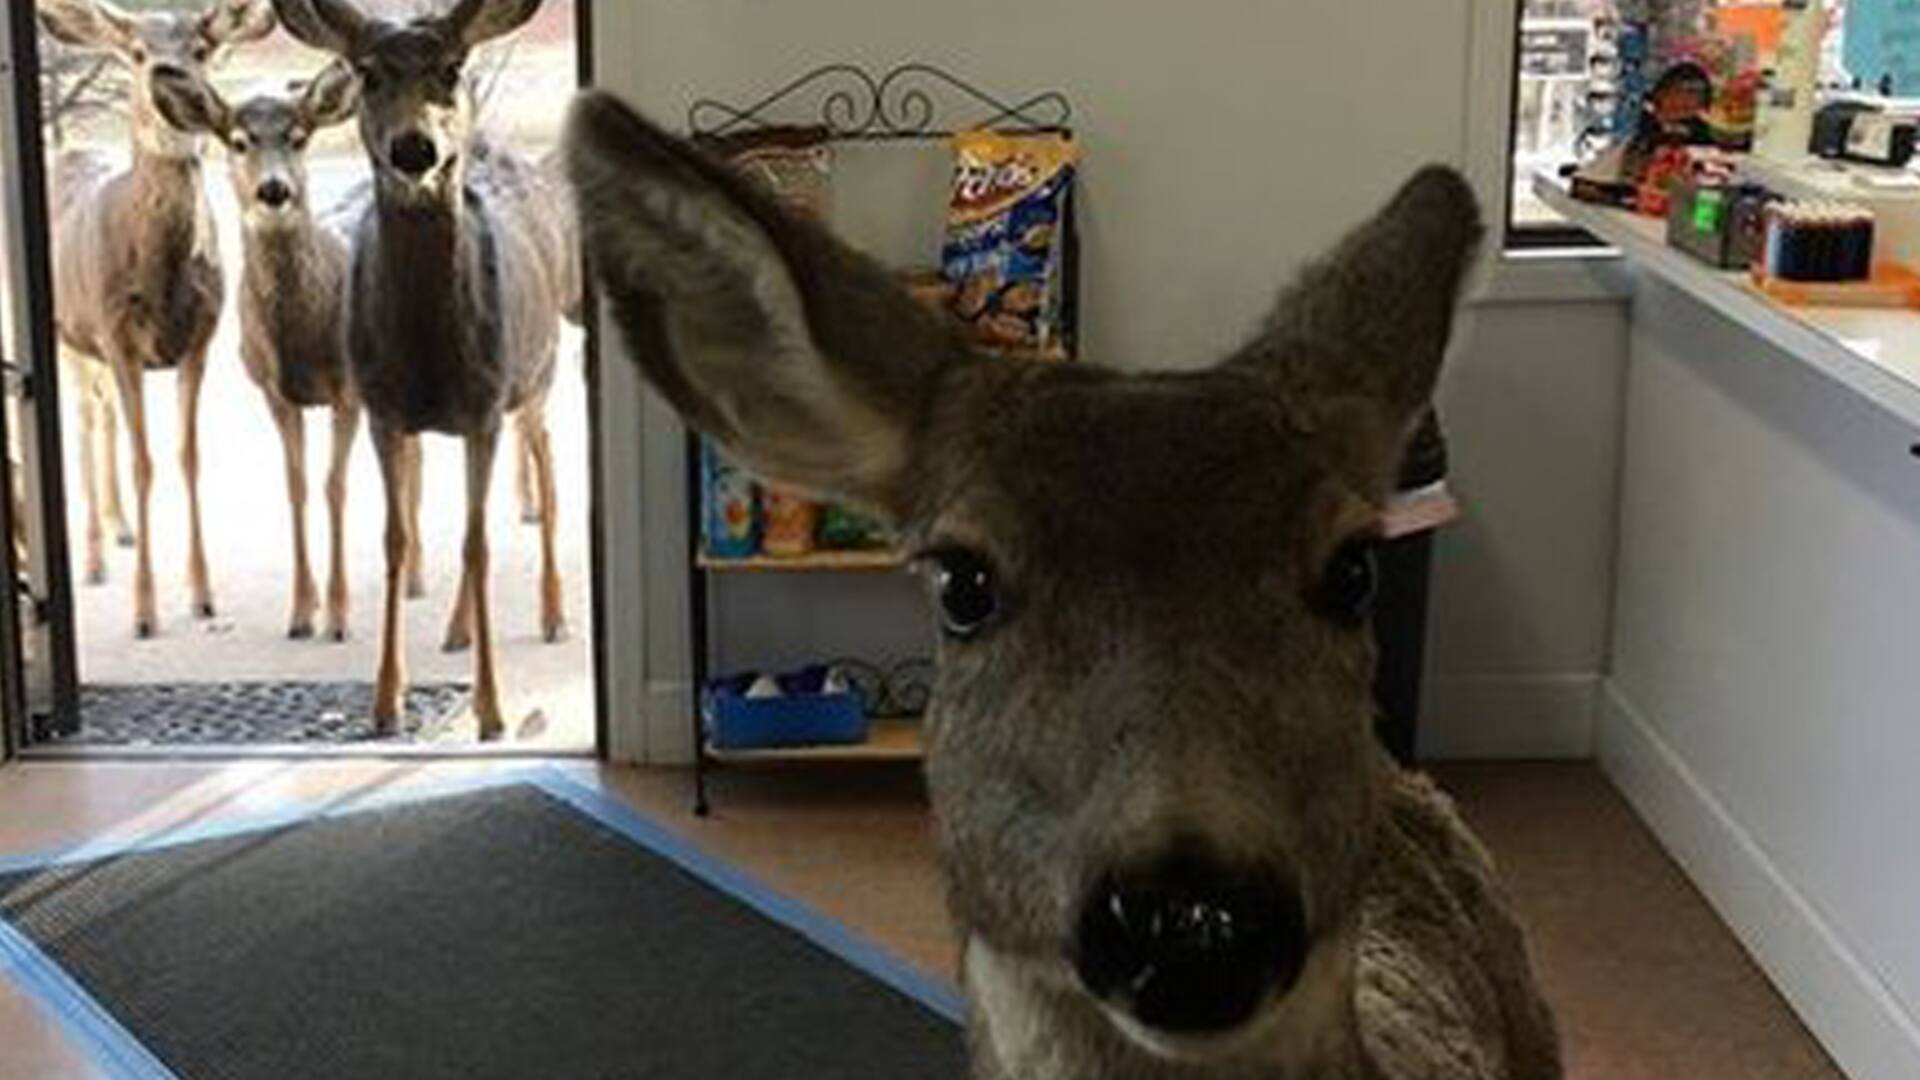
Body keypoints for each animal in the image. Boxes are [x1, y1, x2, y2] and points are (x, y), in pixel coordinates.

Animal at [39, 0, 277, 638]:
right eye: (139, 52)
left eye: (200, 47)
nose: (170, 78)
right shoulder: (116, 336)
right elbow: (143, 461)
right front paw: (144, 611)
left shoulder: (200, 340)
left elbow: (186, 458)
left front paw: (203, 596)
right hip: (70, 336)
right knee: (85, 422)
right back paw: (95, 558)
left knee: (101, 416)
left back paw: (120, 528)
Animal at [142, 60, 373, 642]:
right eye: (239, 141)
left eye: (299, 136)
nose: (274, 189)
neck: (303, 338)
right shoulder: (274, 391)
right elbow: (296, 486)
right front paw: (302, 612)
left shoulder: (348, 390)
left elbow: (335, 486)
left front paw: (339, 616)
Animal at [268, 0, 568, 740]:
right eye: (368, 74)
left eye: (451, 69)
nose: (415, 148)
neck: (431, 349)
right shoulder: (381, 406)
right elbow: (397, 538)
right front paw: (386, 701)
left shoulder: (487, 403)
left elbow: (478, 544)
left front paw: (492, 709)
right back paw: (457, 630)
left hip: (538, 373)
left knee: (546, 470)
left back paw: (553, 613)